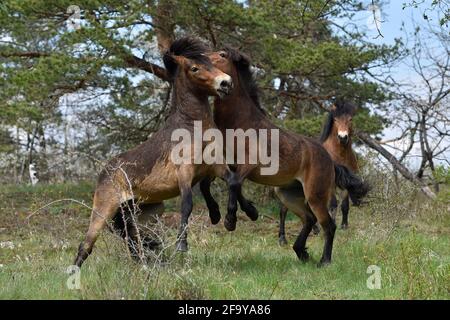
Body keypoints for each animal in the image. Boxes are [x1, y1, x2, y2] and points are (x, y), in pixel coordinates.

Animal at [72, 38, 239, 268]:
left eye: (212, 63)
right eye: (195, 68)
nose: (225, 83)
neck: (192, 129)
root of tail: (104, 171)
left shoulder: (215, 167)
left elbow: (233, 181)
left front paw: (228, 220)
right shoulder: (184, 173)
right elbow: (187, 204)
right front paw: (182, 245)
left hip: (145, 213)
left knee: (135, 238)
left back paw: (144, 265)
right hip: (104, 210)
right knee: (87, 244)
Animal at [280, 100, 360, 245]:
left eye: (350, 119)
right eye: (335, 119)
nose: (343, 137)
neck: (340, 155)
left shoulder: (345, 183)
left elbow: (344, 205)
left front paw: (344, 226)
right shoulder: (331, 185)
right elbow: (333, 204)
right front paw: (331, 226)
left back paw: (315, 229)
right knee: (283, 210)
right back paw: (282, 239)